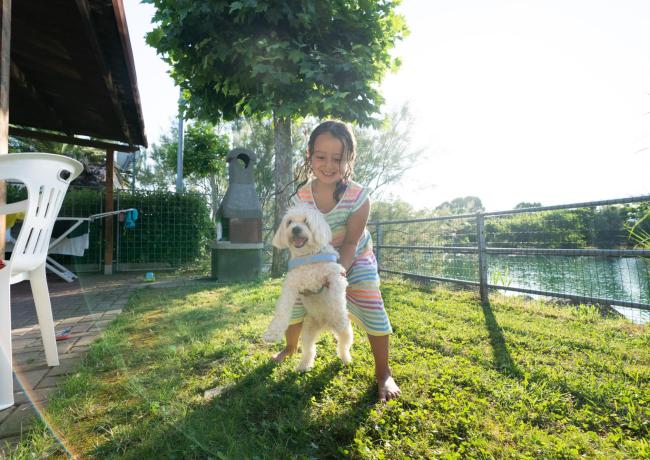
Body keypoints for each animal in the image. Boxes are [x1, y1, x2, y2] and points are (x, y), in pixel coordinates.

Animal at [262, 203, 352, 372]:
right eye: (289, 222)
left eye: (306, 221)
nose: (296, 229)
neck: (308, 256)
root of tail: (325, 325)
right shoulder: (291, 285)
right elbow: (282, 309)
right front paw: (273, 332)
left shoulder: (335, 275)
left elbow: (336, 298)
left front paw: (338, 314)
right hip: (308, 332)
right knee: (309, 350)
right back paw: (303, 366)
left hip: (345, 333)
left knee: (343, 346)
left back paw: (346, 359)